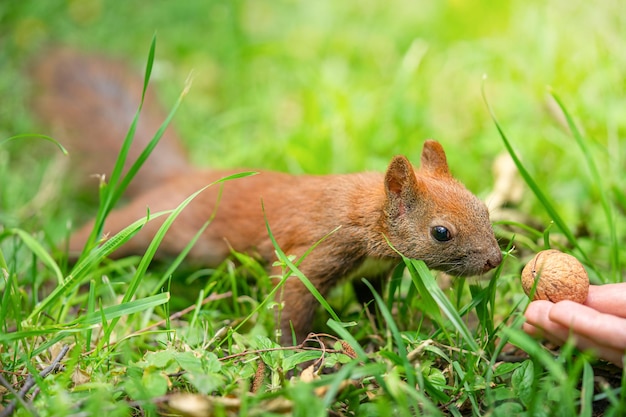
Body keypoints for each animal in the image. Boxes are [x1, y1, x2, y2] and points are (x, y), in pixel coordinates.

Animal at [30, 47, 502, 342]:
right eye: (441, 232)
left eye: (484, 207)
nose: (495, 260)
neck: (366, 217)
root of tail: (184, 177)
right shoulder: (315, 250)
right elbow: (289, 300)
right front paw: (300, 353)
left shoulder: (371, 273)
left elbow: (374, 304)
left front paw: (393, 329)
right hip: (152, 226)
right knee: (95, 238)